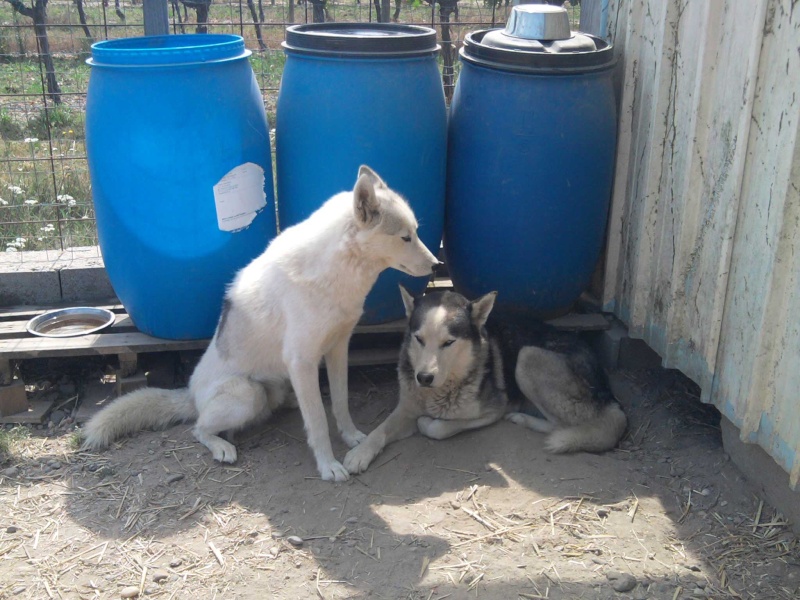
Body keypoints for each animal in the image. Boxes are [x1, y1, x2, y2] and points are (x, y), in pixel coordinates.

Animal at [81, 165, 438, 482]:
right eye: (405, 237)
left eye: (417, 232)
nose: (437, 265)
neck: (338, 271)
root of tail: (191, 393)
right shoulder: (302, 360)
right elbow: (318, 421)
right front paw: (328, 467)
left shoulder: (338, 350)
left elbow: (340, 403)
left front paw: (352, 439)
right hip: (247, 394)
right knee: (198, 428)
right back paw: (222, 446)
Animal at [344, 288, 624, 476]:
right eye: (419, 339)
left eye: (448, 342)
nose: (423, 378)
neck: (441, 389)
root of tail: (611, 396)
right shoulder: (405, 409)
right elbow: (379, 430)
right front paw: (360, 453)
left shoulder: (493, 411)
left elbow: (440, 427)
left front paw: (427, 422)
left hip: (527, 358)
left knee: (560, 426)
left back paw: (523, 418)